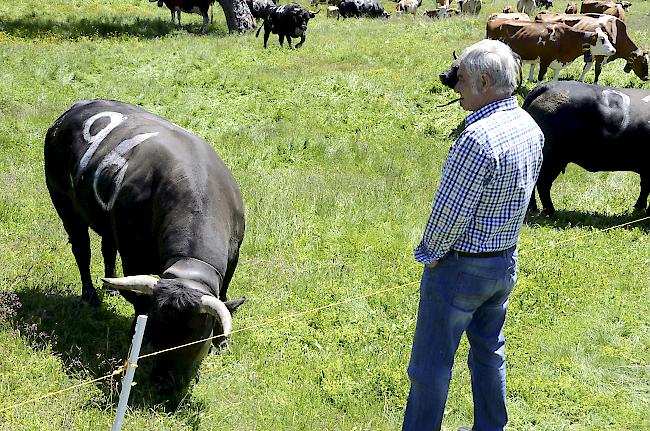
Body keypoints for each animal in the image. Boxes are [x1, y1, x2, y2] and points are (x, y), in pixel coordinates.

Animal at [43, 99, 246, 406]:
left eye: (195, 338)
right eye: (153, 331)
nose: (163, 384)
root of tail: (74, 109)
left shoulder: (232, 260)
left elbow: (224, 297)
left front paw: (221, 342)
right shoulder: (133, 257)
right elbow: (139, 302)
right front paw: (133, 334)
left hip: (107, 221)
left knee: (106, 246)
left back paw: (110, 287)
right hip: (64, 203)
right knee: (82, 249)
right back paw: (90, 295)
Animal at [520, 80, 648, 215]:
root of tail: (549, 86)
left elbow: (645, 186)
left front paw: (640, 208)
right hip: (552, 158)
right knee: (542, 183)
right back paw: (548, 210)